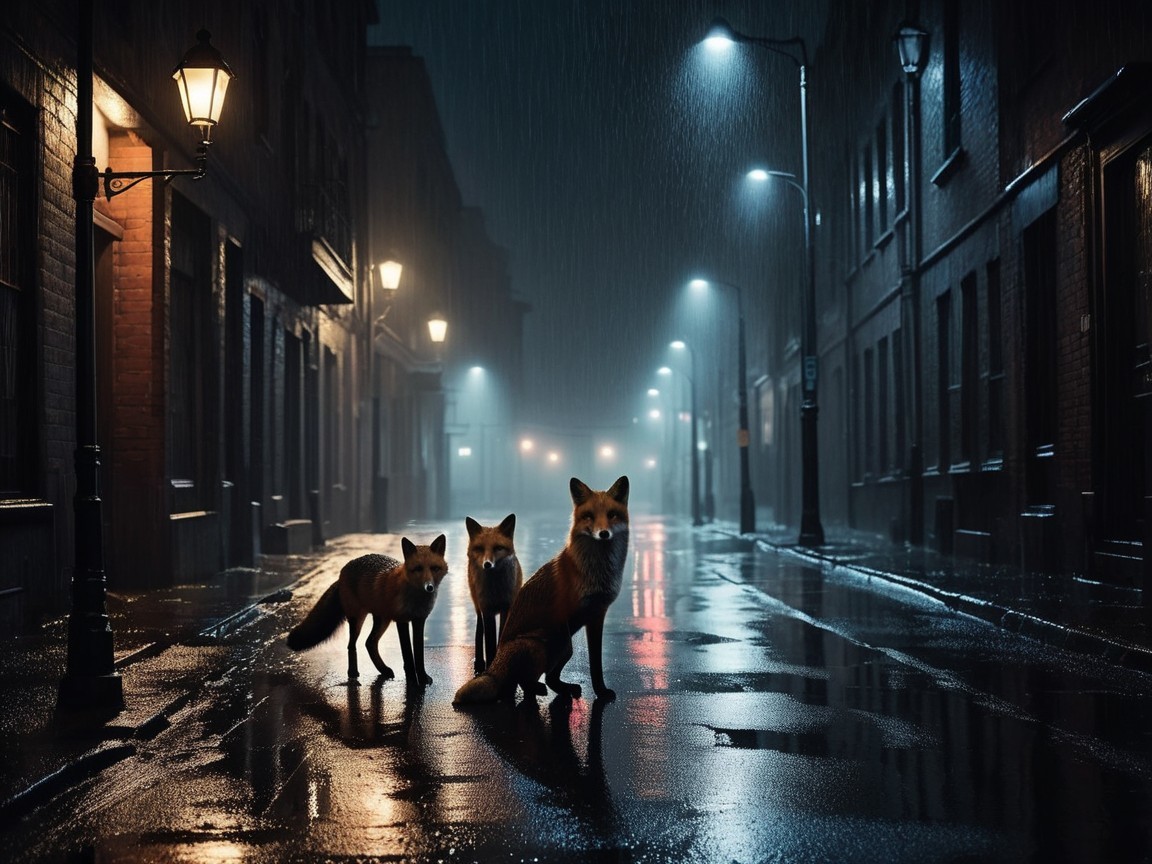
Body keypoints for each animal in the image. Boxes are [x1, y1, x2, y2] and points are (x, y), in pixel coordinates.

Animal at [286, 535, 448, 685]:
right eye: (418, 569)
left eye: (434, 568)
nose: (429, 587)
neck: (415, 599)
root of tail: (343, 570)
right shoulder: (401, 620)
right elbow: (408, 655)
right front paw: (413, 682)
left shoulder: (419, 619)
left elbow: (419, 654)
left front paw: (423, 678)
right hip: (357, 619)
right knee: (352, 645)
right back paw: (353, 673)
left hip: (382, 620)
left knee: (369, 643)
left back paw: (383, 670)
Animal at [466, 513, 524, 673]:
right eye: (480, 548)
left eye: (498, 548)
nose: (487, 564)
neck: (496, 589)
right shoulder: (487, 611)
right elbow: (490, 644)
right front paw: (490, 665)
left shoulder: (507, 609)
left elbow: (500, 638)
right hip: (478, 606)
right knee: (479, 631)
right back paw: (479, 663)